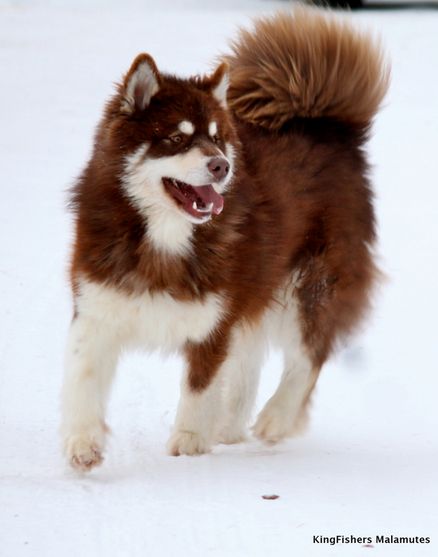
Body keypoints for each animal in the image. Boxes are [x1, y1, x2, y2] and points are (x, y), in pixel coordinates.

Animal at [60, 7, 388, 470]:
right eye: (176, 138)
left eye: (216, 137)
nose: (220, 166)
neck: (165, 240)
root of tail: (328, 128)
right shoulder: (98, 307)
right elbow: (83, 382)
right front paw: (82, 444)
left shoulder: (213, 321)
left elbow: (199, 388)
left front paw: (189, 441)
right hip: (257, 285)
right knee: (249, 360)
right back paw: (230, 426)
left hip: (311, 283)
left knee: (310, 353)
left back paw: (274, 418)